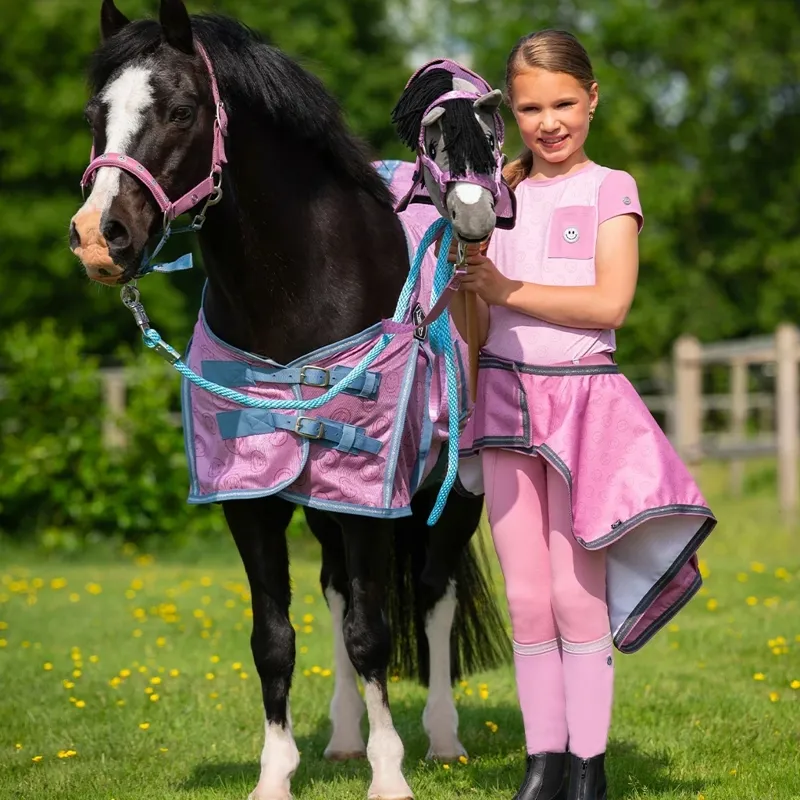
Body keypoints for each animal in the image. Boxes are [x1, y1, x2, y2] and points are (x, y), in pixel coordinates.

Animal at [69, 2, 512, 798]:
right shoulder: (252, 500)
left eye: (181, 110)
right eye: (96, 113)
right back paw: (343, 738)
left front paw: (390, 776)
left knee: (433, 595)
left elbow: (374, 633)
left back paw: (441, 738)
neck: (299, 291)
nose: (98, 236)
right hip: (323, 503)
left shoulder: (370, 497)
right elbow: (275, 637)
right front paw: (277, 774)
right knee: (337, 592)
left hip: (454, 489)